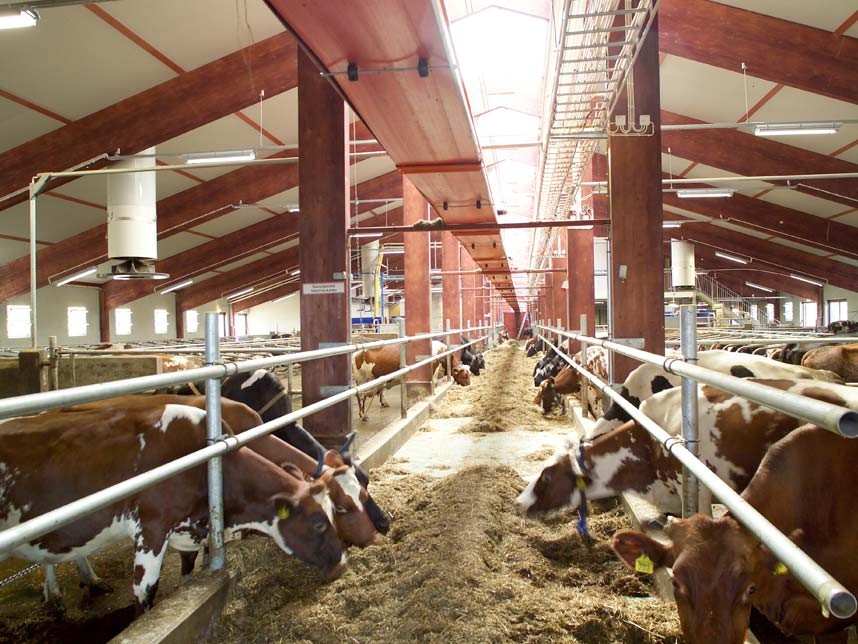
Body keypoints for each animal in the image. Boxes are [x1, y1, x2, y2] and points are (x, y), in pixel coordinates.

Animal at [0, 404, 345, 612]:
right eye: (318, 522)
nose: (342, 563)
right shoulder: (151, 530)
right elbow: (145, 593)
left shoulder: (189, 529)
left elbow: (188, 572)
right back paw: (57, 594)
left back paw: (88, 582)